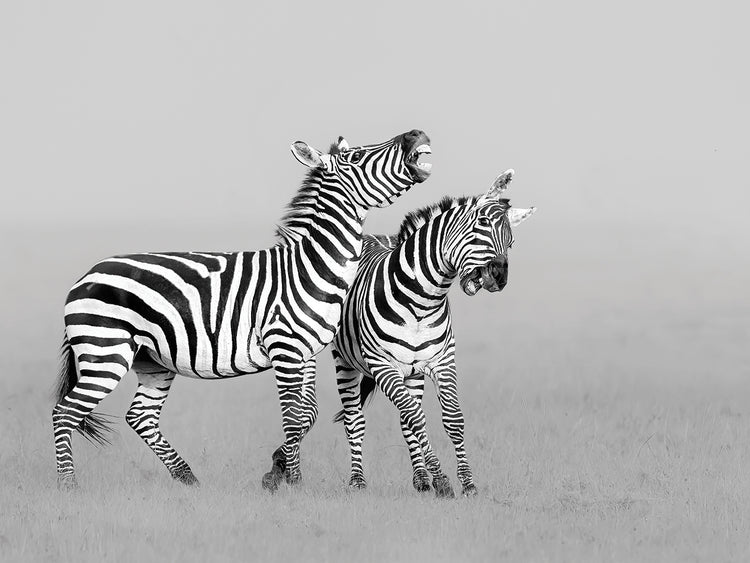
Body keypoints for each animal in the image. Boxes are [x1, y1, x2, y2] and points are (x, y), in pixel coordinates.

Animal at [52, 129, 432, 491]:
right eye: (356, 157)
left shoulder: (306, 353)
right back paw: (69, 485)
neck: (311, 266)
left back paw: (187, 477)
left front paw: (279, 469)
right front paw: (292, 482)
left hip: (152, 361)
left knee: (140, 417)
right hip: (106, 353)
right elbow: (293, 415)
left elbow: (307, 413)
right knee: (64, 412)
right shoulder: (285, 348)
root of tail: (85, 277)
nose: (416, 134)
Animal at [268, 170, 535, 496]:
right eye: (479, 227)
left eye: (511, 242)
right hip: (343, 361)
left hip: (412, 371)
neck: (422, 301)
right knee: (351, 419)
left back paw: (420, 478)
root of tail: (367, 236)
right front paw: (443, 480)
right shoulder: (383, 366)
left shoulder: (441, 362)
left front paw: (465, 482)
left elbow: (450, 419)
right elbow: (416, 417)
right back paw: (353, 479)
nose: (499, 276)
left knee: (403, 418)